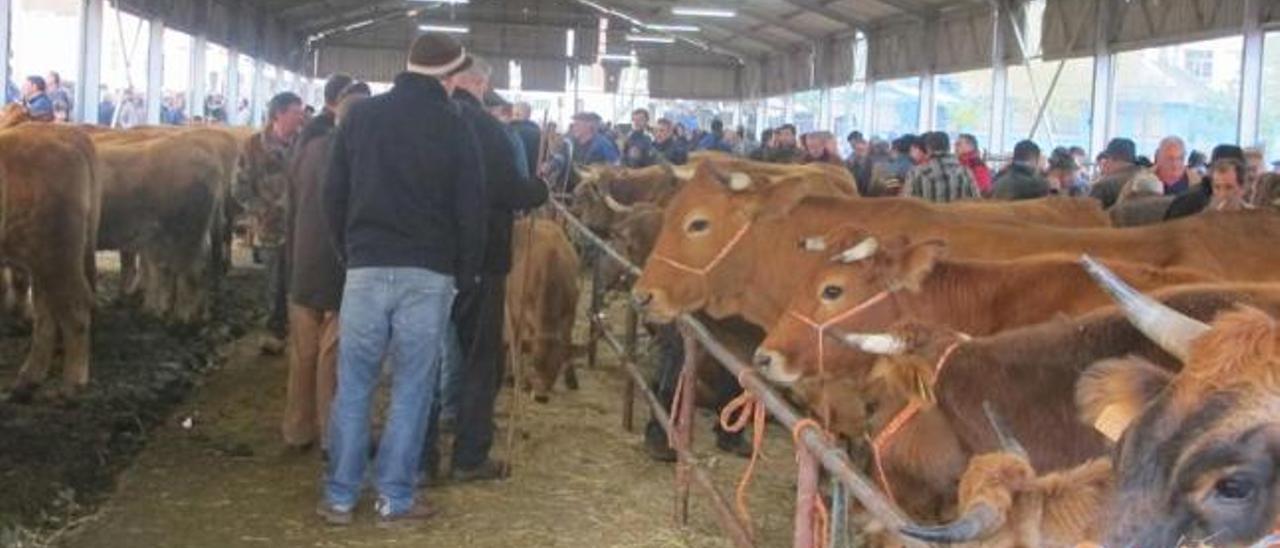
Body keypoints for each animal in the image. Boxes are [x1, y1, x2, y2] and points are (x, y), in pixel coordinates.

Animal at [0, 122, 100, 396]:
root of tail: (66, 132)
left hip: (56, 256)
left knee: (75, 307)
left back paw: (72, 384)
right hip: (43, 262)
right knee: (47, 314)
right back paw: (28, 380)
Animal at [506, 218, 583, 402]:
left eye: (556, 366)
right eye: (534, 362)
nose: (541, 396)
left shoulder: (570, 313)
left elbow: (567, 342)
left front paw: (571, 378)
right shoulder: (522, 313)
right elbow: (520, 343)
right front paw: (522, 380)